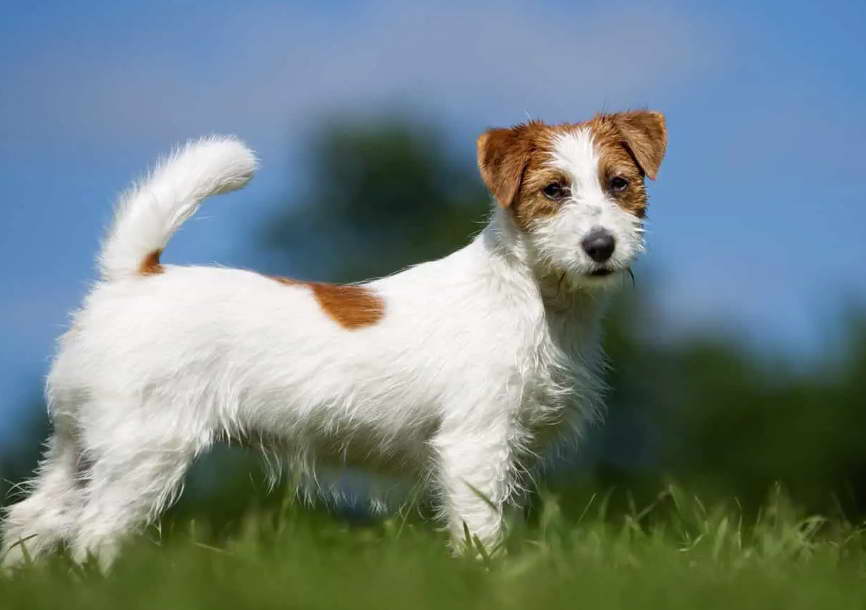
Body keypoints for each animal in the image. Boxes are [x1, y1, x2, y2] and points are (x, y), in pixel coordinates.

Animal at [0, 108, 664, 564]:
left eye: (620, 183)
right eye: (554, 190)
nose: (600, 246)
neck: (534, 295)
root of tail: (133, 276)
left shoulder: (514, 451)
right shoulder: (477, 443)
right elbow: (479, 527)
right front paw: (485, 575)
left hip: (78, 444)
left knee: (33, 519)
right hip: (144, 448)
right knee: (94, 531)